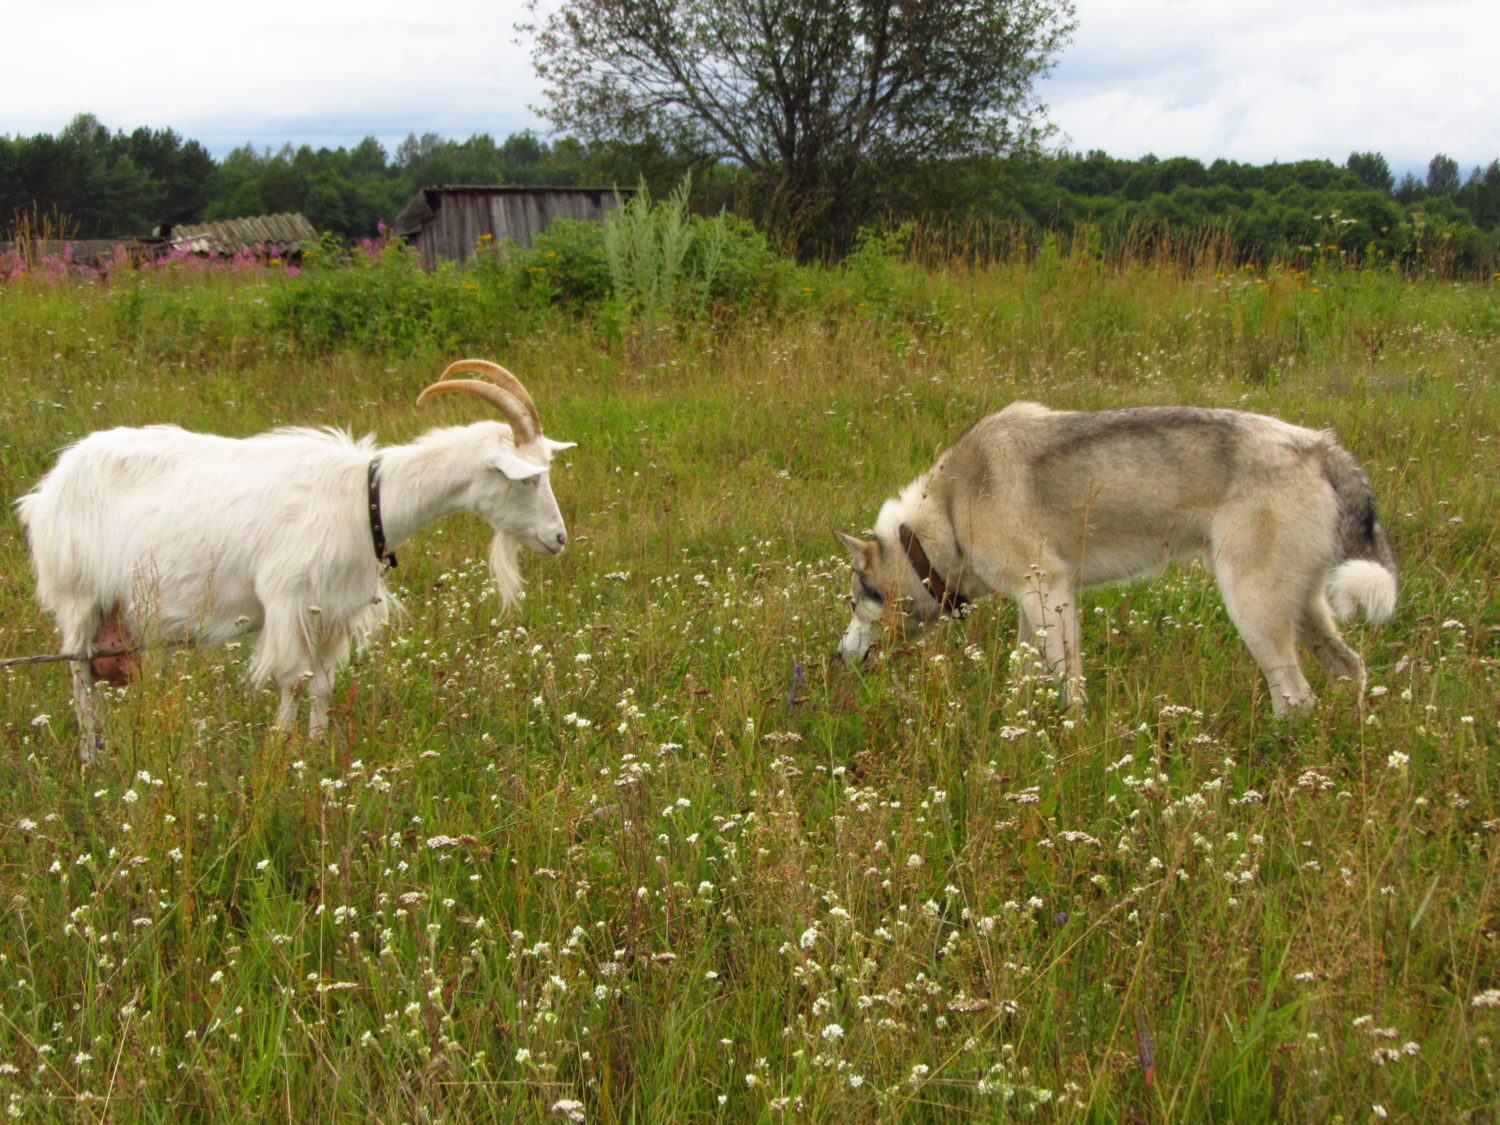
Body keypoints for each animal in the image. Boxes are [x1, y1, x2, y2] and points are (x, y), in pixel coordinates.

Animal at [20, 361, 570, 759]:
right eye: (527, 480)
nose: (559, 538)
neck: (367, 500)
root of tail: (47, 489)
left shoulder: (333, 613)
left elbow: (322, 686)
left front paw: (317, 746)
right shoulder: (287, 603)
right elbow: (291, 680)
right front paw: (282, 752)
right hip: (78, 595)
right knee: (79, 676)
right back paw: (91, 754)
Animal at [840, 402, 1398, 714]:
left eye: (852, 602)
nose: (839, 657)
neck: (949, 511)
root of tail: (1321, 446)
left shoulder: (1051, 594)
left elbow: (1068, 682)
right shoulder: (1035, 601)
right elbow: (1024, 676)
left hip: (1254, 610)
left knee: (1297, 698)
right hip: (1302, 612)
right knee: (1351, 670)